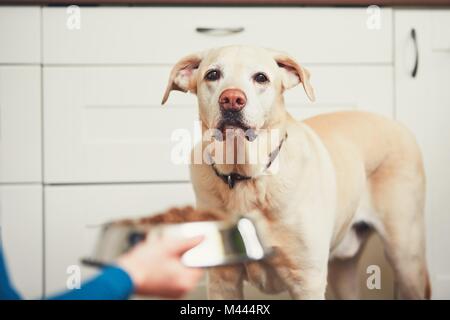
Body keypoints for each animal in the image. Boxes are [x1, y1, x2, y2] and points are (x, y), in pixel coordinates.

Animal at [161, 45, 428, 300]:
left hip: (406, 257)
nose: (232, 99)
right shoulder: (222, 280)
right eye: (212, 75)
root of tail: (398, 125)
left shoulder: (307, 281)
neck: (248, 178)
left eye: (261, 78)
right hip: (344, 271)